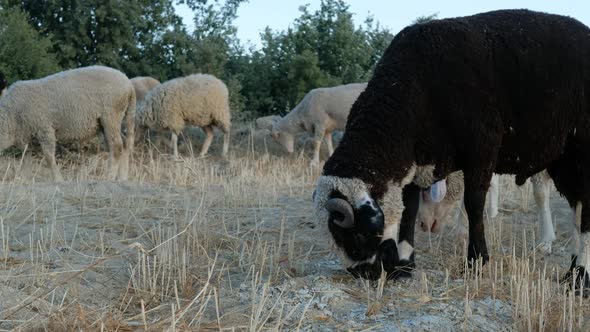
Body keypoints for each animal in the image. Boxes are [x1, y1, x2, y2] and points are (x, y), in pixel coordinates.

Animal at [0, 66, 135, 182]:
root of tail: (129, 85)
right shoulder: (26, 135)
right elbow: (26, 158)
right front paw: (24, 178)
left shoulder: (44, 128)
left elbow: (48, 156)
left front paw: (58, 178)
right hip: (110, 121)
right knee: (124, 144)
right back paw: (121, 177)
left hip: (111, 115)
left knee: (116, 146)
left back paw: (109, 177)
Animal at [316, 8, 590, 294]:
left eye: (358, 233)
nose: (364, 274)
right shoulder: (417, 164)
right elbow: (409, 209)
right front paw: (405, 264)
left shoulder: (481, 153)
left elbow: (473, 205)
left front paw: (476, 261)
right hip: (563, 161)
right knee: (578, 206)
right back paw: (572, 268)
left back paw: (580, 275)